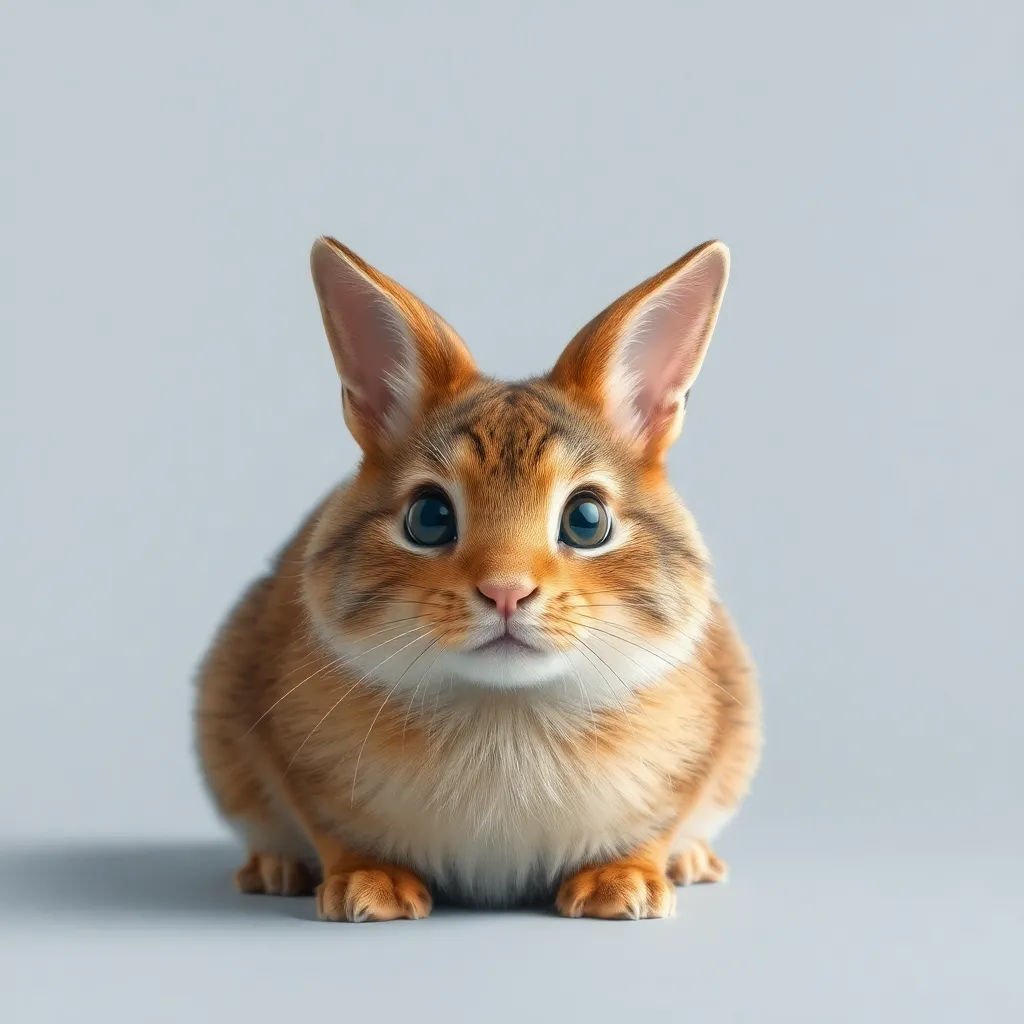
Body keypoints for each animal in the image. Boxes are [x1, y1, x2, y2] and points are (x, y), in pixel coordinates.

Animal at [194, 235, 762, 921]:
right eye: (430, 518)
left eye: (587, 519)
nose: (506, 592)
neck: (505, 706)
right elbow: (329, 828)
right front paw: (369, 882)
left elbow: (660, 824)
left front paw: (622, 881)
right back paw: (273, 867)